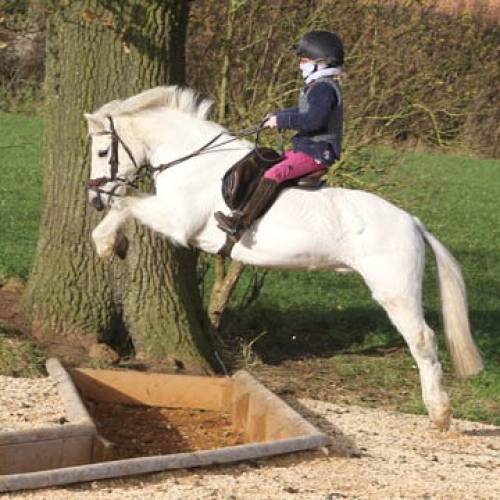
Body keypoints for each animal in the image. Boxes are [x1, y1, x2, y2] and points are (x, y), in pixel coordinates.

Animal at [85, 86, 483, 431]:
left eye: (103, 153)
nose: (93, 199)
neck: (194, 162)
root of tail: (413, 222)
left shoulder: (178, 222)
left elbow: (127, 204)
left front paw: (105, 243)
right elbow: (128, 204)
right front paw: (116, 242)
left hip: (395, 291)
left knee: (423, 340)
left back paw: (440, 413)